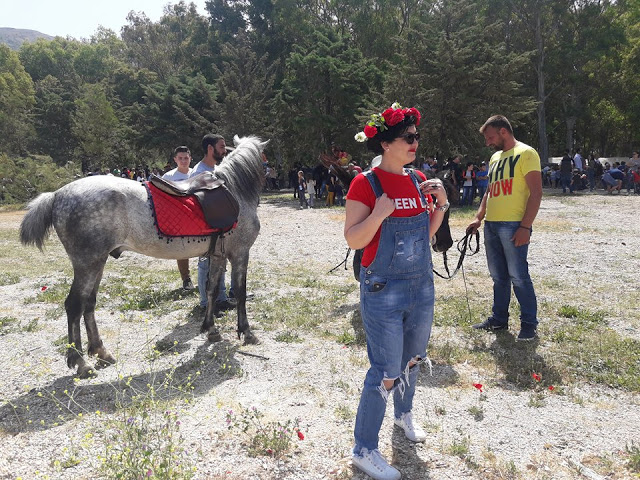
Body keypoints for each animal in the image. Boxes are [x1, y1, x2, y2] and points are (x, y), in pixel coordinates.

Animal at [19, 135, 264, 378]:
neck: (235, 190)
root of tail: (57, 195)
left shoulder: (218, 255)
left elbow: (212, 289)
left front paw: (211, 329)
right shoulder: (240, 253)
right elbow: (240, 292)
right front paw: (246, 332)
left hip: (97, 263)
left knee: (89, 303)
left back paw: (101, 351)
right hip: (87, 264)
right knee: (74, 305)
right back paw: (80, 362)